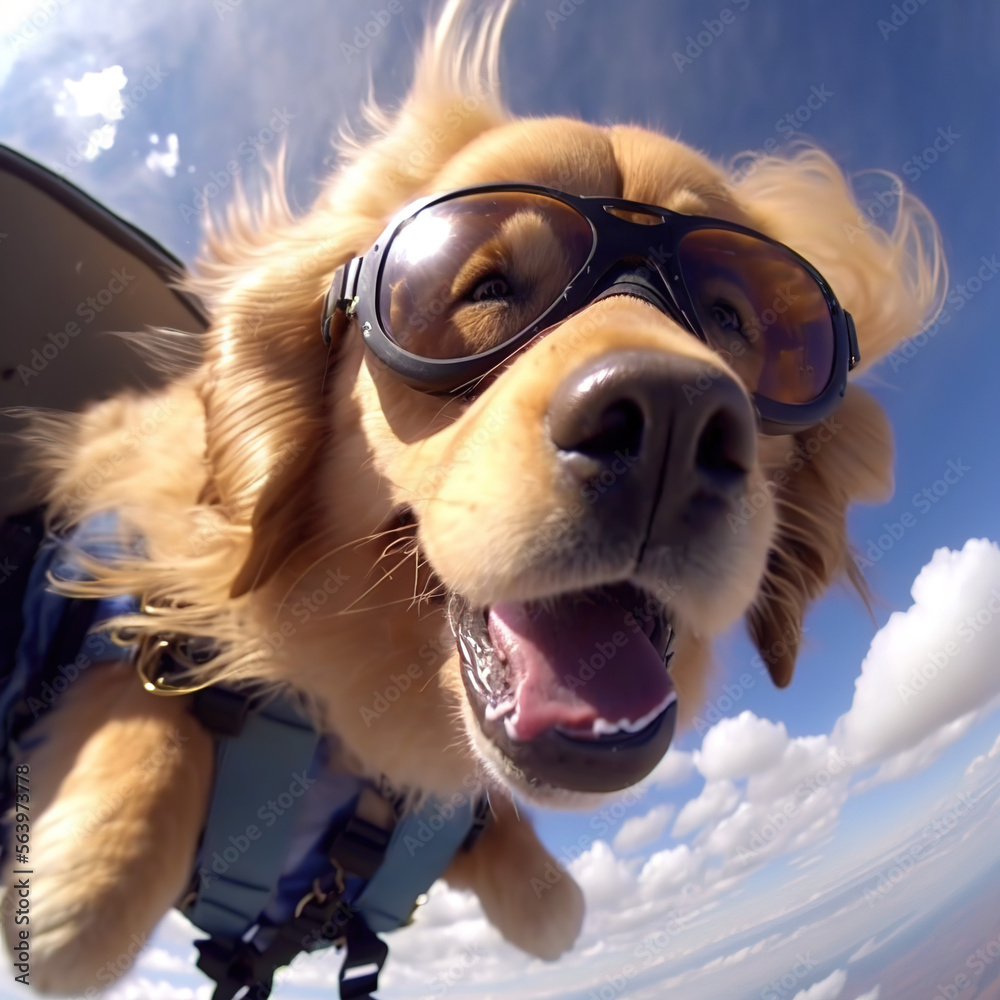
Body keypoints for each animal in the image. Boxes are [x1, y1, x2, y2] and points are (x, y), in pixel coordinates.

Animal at [0, 0, 940, 992]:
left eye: (728, 314)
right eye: (485, 287)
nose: (671, 425)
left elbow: (551, 906)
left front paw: (531, 877)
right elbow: (123, 800)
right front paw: (91, 863)